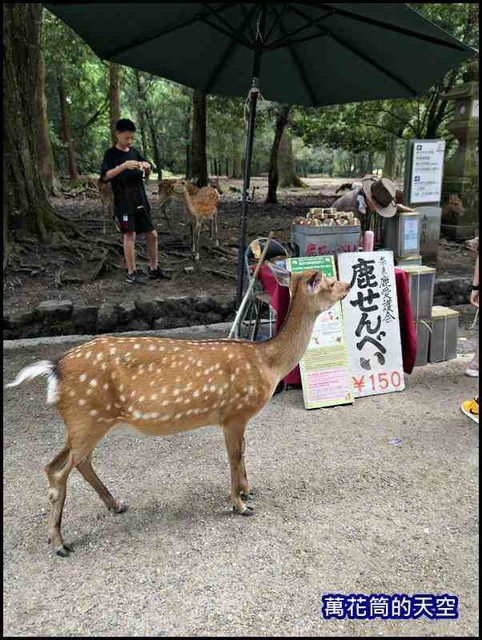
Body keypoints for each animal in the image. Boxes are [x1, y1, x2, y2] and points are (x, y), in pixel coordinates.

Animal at [5, 268, 348, 556]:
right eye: (328, 282)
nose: (347, 285)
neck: (268, 362)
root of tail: (55, 368)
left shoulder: (239, 417)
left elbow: (244, 451)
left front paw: (248, 491)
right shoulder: (233, 413)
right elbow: (234, 455)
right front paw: (240, 504)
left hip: (82, 422)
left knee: (61, 464)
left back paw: (116, 505)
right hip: (89, 418)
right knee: (62, 470)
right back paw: (60, 543)